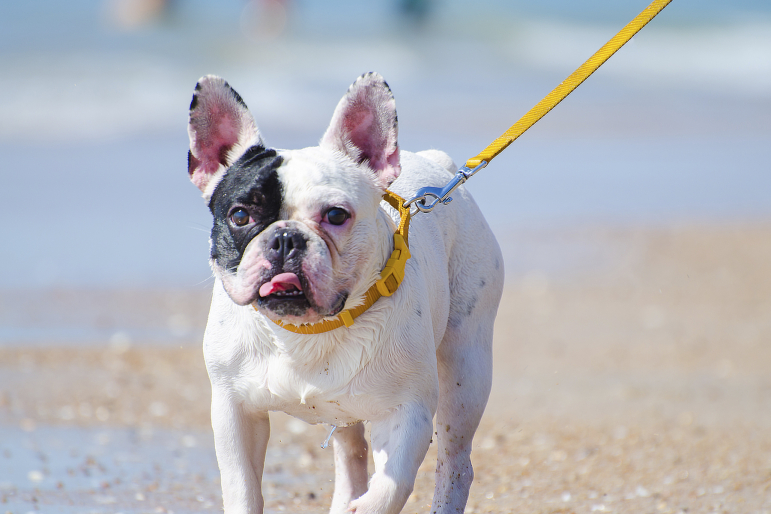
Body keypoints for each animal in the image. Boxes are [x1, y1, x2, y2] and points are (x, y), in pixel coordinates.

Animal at [185, 72, 504, 512]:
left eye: (336, 215)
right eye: (240, 215)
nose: (286, 238)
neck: (306, 332)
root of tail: (437, 163)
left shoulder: (408, 413)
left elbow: (388, 489)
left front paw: (367, 506)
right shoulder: (235, 410)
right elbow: (242, 488)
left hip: (465, 370)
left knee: (455, 462)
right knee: (351, 452)